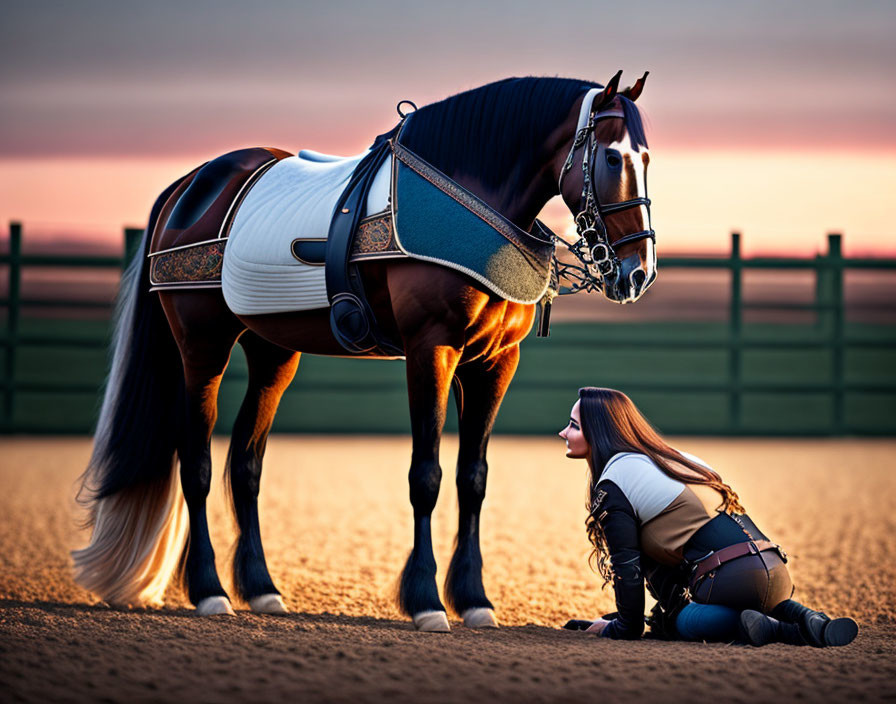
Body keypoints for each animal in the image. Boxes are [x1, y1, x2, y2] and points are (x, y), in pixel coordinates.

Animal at [70, 73, 656, 632]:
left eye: (647, 158)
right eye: (611, 157)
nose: (638, 273)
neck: (470, 197)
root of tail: (189, 185)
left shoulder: (493, 362)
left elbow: (473, 478)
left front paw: (473, 600)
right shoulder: (431, 349)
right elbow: (427, 477)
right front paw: (425, 601)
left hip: (272, 353)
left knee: (246, 466)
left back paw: (260, 588)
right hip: (202, 347)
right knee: (196, 465)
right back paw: (210, 591)